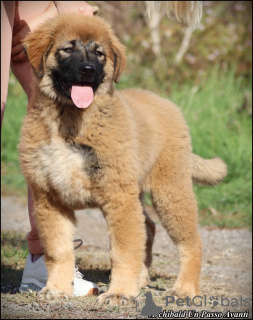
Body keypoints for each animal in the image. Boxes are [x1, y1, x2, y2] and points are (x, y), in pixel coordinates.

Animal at [20, 13, 227, 304]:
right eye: (68, 49)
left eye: (99, 54)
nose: (88, 70)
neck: (71, 120)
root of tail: (168, 104)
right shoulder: (49, 199)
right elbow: (59, 250)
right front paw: (58, 288)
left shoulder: (118, 197)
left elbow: (122, 251)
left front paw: (119, 293)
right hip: (139, 191)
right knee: (148, 227)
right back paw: (142, 279)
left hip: (170, 192)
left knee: (190, 241)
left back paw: (185, 288)